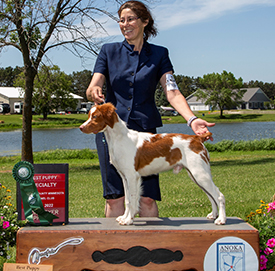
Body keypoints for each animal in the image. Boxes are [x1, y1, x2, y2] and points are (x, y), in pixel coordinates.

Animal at [79, 103, 226, 226]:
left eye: (95, 116)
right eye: (89, 115)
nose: (81, 127)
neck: (119, 138)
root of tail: (197, 138)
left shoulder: (132, 176)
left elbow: (132, 198)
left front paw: (128, 220)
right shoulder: (124, 176)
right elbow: (127, 199)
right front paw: (125, 217)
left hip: (200, 173)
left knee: (219, 195)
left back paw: (221, 219)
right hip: (196, 175)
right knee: (211, 196)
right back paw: (213, 215)